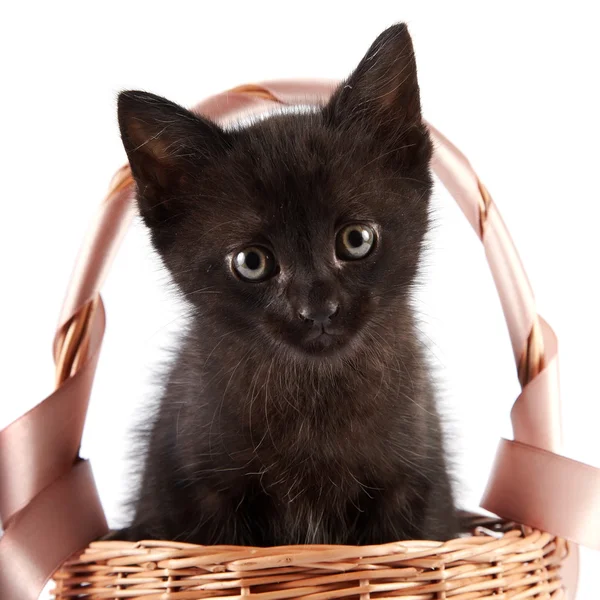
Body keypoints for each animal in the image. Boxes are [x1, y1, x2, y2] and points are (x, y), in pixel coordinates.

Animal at [115, 25, 458, 548]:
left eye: (355, 239)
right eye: (252, 262)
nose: (317, 309)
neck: (313, 397)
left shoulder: (411, 486)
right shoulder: (202, 493)